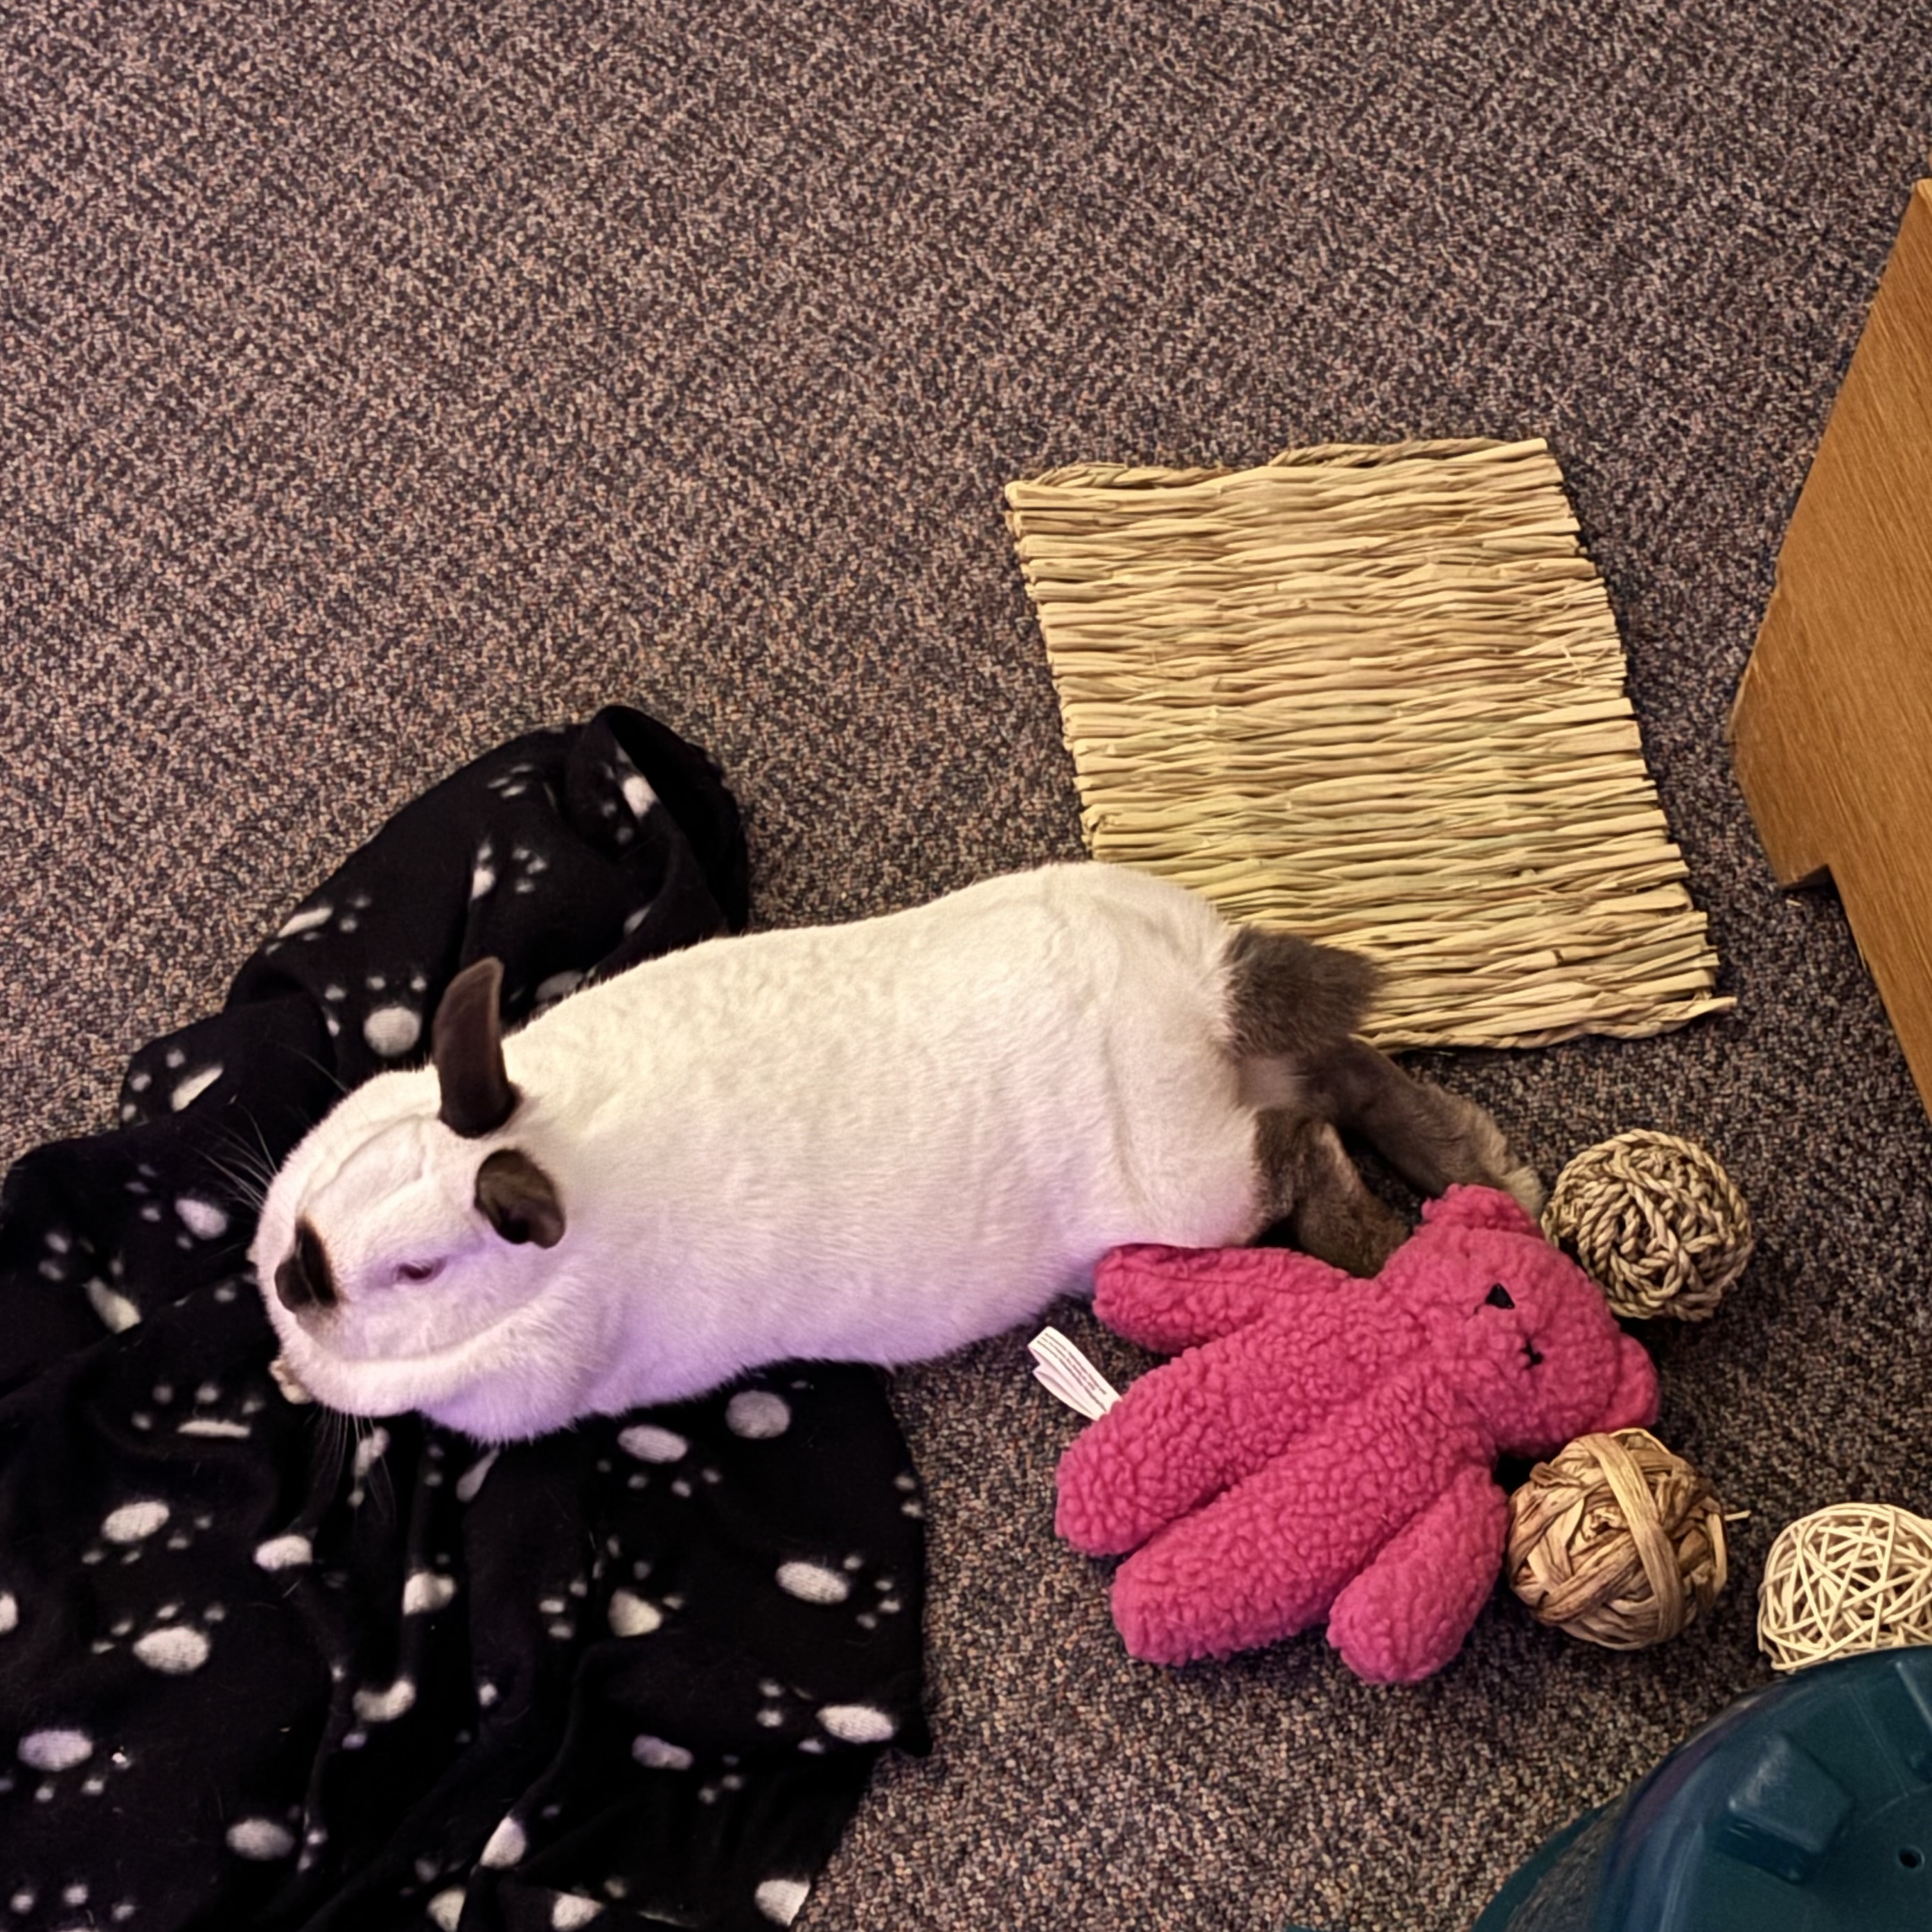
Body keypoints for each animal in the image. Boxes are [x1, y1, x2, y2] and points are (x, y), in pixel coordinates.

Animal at [251, 862, 1540, 1443]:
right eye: (360, 1167)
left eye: (418, 1269)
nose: (292, 1279)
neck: (557, 1160)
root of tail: (1204, 998)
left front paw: (288, 1377)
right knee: (1346, 1069)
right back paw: (1481, 1167)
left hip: (1194, 1189)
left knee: (1301, 1134)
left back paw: (1386, 1230)